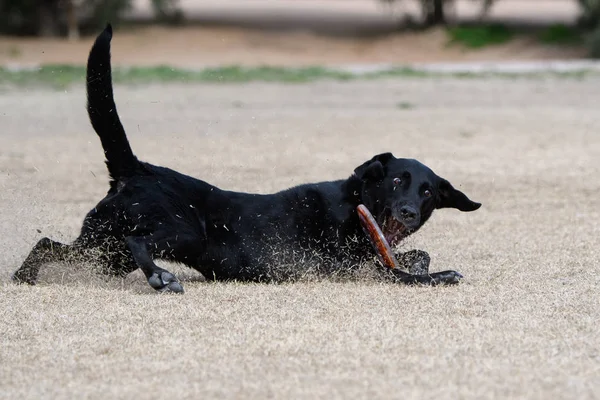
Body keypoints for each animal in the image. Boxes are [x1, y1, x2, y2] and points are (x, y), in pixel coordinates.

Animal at [11, 25, 482, 294]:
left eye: (427, 192)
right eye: (397, 181)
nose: (407, 212)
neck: (355, 205)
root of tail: (137, 169)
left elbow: (417, 255)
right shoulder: (352, 270)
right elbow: (406, 273)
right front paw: (439, 276)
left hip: (102, 250)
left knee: (49, 244)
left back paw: (23, 277)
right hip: (180, 231)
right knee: (137, 240)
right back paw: (161, 278)